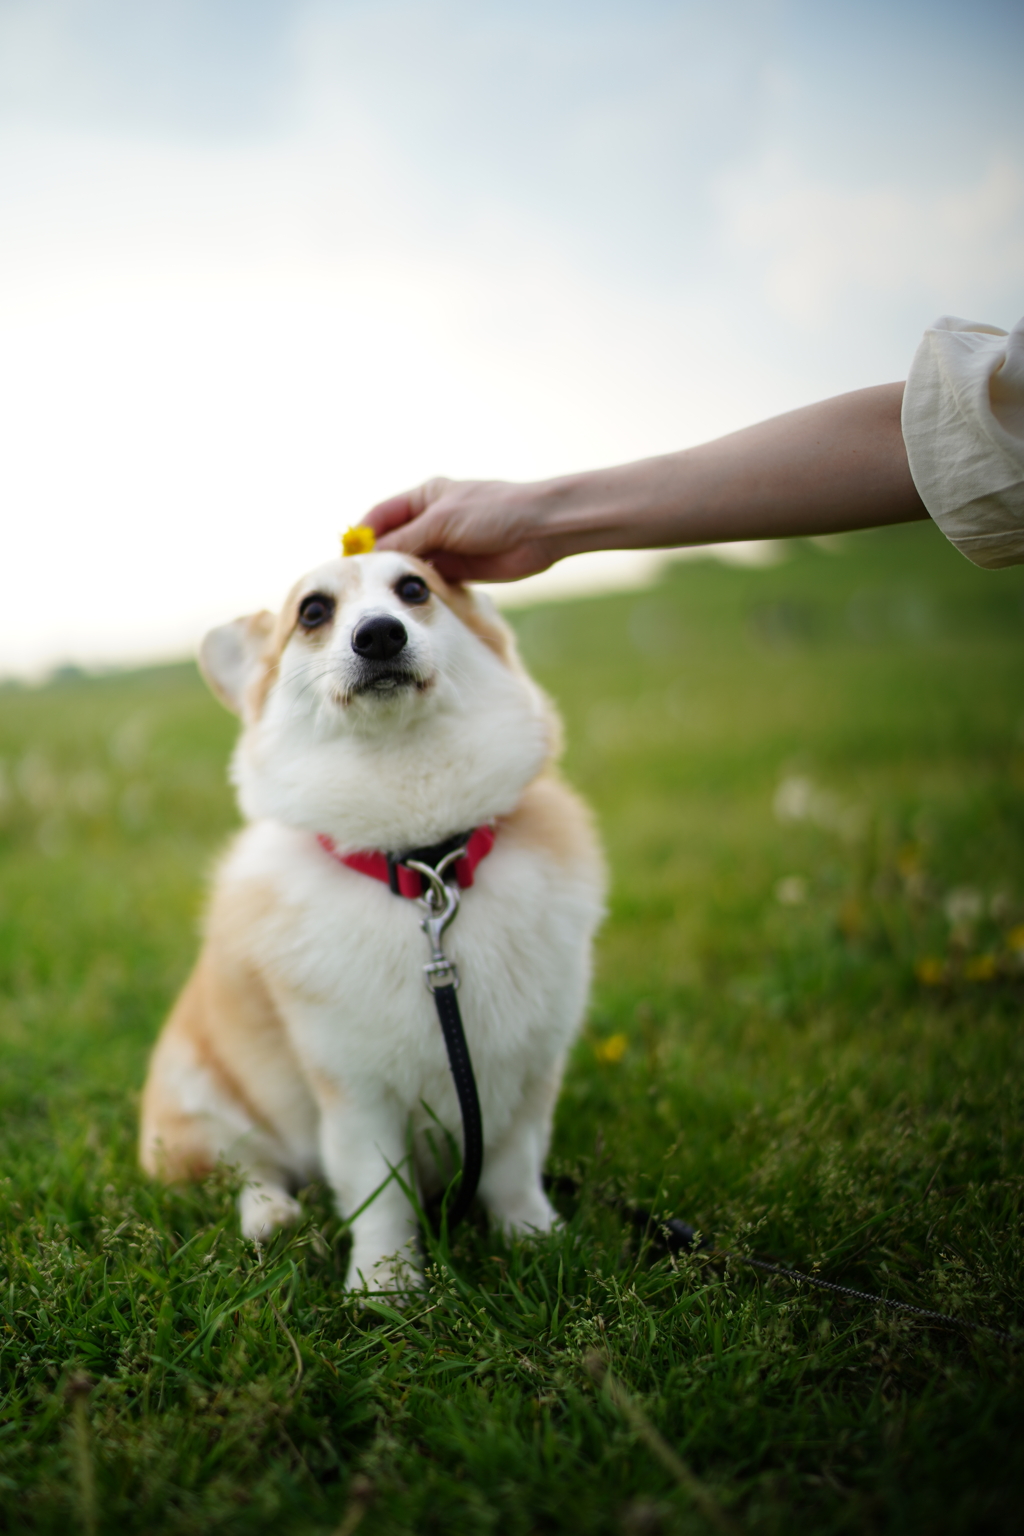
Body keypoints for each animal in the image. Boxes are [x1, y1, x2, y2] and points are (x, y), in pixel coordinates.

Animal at [144, 546, 607, 1290]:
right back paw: (270, 1216)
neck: (422, 868)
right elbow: (379, 1193)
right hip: (192, 1102)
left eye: (414, 588)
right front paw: (386, 1285)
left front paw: (538, 1242)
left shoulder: (528, 1070)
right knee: (245, 1166)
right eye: (313, 611)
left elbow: (514, 1172)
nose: (381, 635)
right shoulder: (355, 1091)